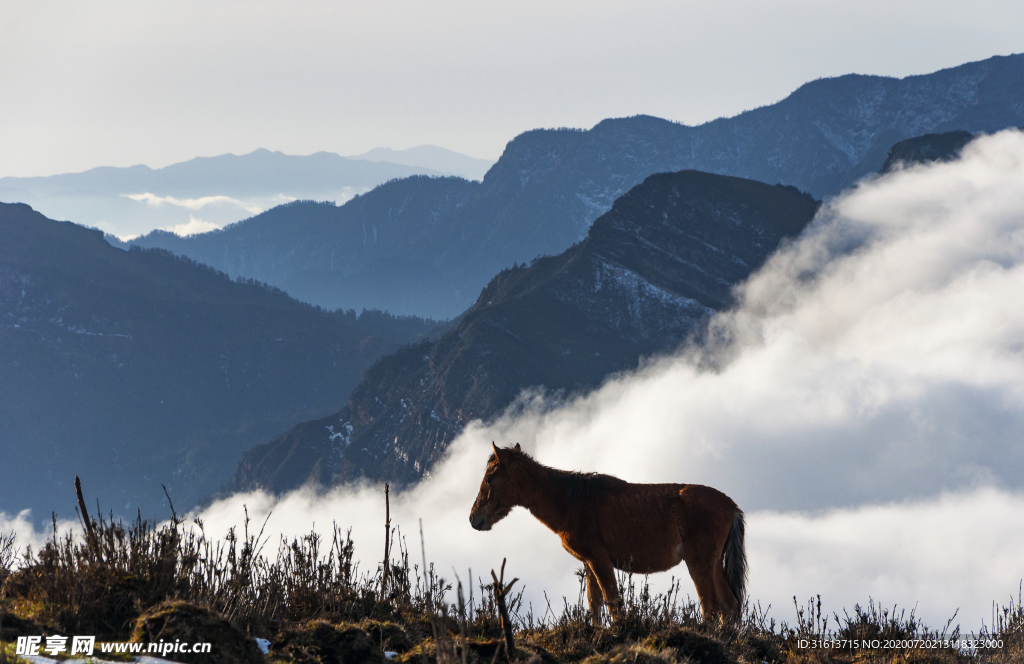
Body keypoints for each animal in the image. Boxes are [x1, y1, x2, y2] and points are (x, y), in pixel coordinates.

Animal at [468, 440, 749, 623]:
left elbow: (613, 604)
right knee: (729, 606)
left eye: (489, 478)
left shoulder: (600, 562)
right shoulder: (590, 564)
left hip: (698, 563)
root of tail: (731, 506)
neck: (571, 502)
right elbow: (595, 607)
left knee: (710, 608)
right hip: (713, 564)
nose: (473, 518)